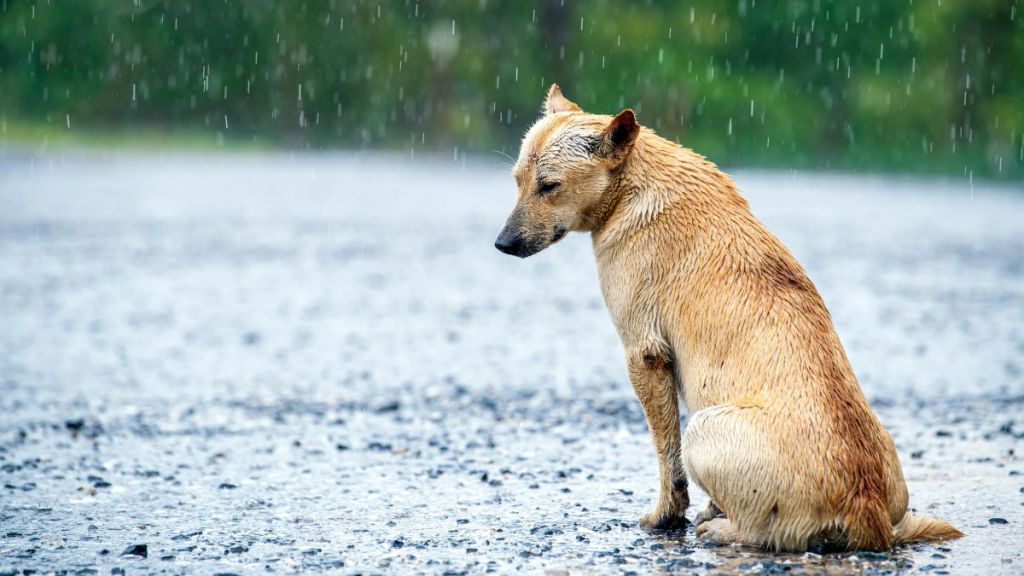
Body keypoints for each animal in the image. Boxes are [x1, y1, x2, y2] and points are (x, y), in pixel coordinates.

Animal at [491, 83, 962, 549]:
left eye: (549, 186)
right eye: (516, 181)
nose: (502, 244)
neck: (632, 186)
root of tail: (866, 506)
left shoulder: (645, 354)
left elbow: (667, 456)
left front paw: (666, 516)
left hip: (703, 429)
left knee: (759, 531)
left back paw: (720, 529)